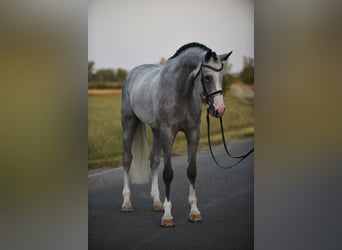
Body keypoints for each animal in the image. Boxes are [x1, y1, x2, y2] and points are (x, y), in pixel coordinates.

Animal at [120, 42, 232, 227]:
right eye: (207, 77)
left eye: (221, 76)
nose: (220, 109)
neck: (180, 91)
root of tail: (132, 73)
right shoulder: (168, 133)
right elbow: (168, 174)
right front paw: (167, 216)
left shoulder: (193, 133)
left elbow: (192, 171)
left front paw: (194, 212)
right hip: (129, 123)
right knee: (127, 159)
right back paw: (127, 203)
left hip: (156, 130)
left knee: (154, 160)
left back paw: (157, 202)